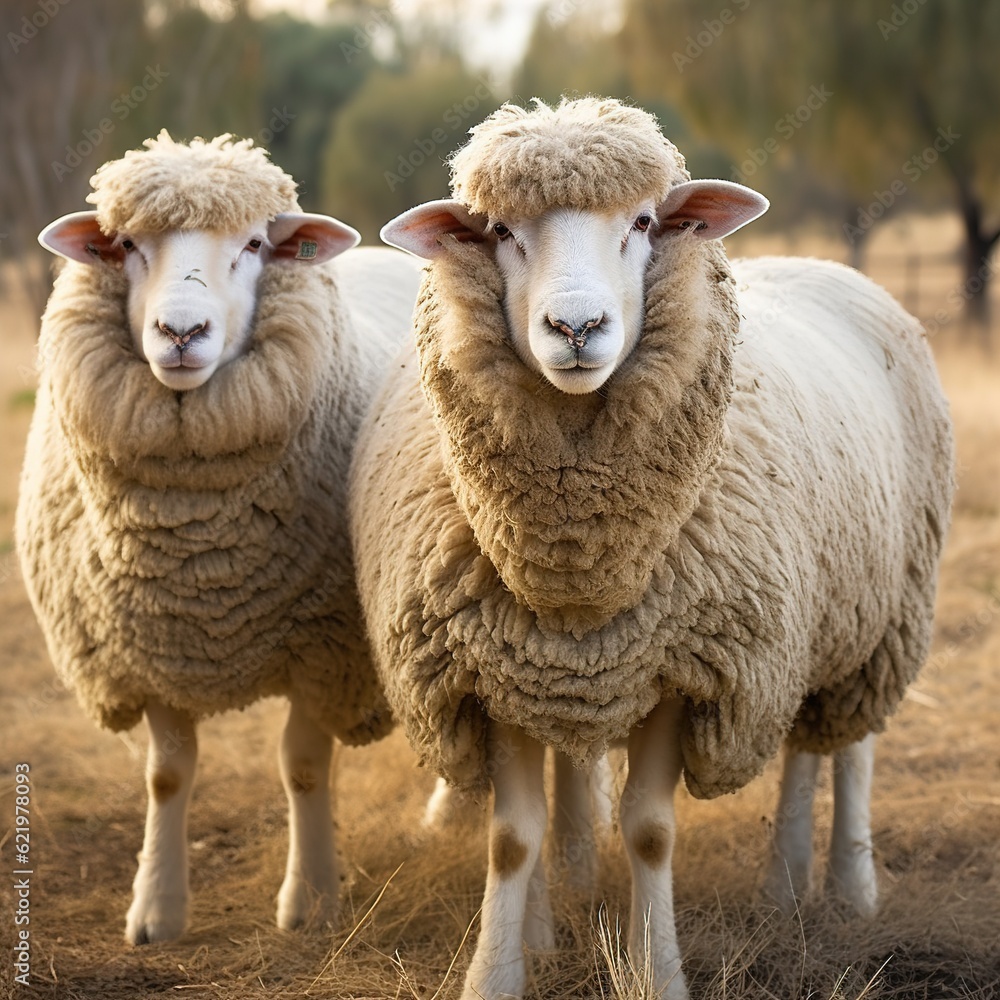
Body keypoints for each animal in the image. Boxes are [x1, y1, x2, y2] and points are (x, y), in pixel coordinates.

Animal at [17, 131, 421, 944]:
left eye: (256, 244)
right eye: (126, 245)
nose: (180, 333)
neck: (200, 555)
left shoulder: (326, 649)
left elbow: (302, 766)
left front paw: (310, 901)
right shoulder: (153, 641)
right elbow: (167, 774)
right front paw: (156, 909)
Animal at [352, 97, 955, 1000]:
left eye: (642, 222)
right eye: (499, 230)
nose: (576, 326)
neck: (580, 571)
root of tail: (821, 263)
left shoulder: (690, 664)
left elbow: (648, 831)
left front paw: (654, 968)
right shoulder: (494, 670)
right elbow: (513, 837)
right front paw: (500, 970)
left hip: (880, 615)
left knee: (848, 750)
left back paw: (850, 888)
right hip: (802, 628)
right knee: (800, 749)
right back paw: (781, 885)